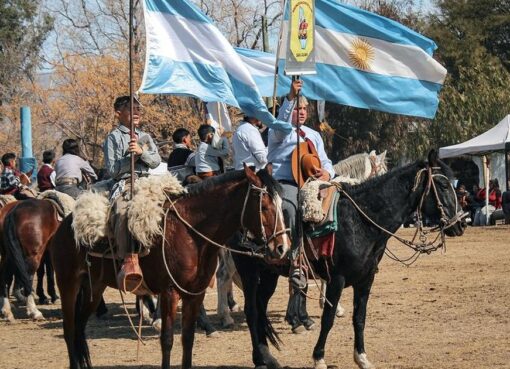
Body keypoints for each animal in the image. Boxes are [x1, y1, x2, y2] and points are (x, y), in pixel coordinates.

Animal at [0, 191, 73, 320]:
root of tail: (13, 212)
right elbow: (48, 273)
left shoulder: (46, 253)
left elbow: (43, 273)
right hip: (32, 256)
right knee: (27, 277)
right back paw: (34, 311)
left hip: (8, 256)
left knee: (6, 277)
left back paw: (7, 311)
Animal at [51, 165, 290, 368]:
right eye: (264, 206)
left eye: (281, 205)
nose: (282, 247)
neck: (190, 233)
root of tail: (66, 225)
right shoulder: (169, 292)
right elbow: (167, 339)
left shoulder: (195, 294)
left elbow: (188, 338)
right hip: (68, 285)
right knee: (69, 329)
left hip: (94, 288)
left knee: (79, 327)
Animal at [232, 150, 466, 368]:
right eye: (443, 185)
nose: (461, 223)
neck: (359, 220)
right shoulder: (337, 279)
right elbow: (328, 318)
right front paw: (319, 358)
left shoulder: (366, 279)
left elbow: (359, 318)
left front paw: (361, 357)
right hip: (248, 271)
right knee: (251, 310)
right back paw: (260, 356)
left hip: (269, 274)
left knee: (260, 307)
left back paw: (266, 355)